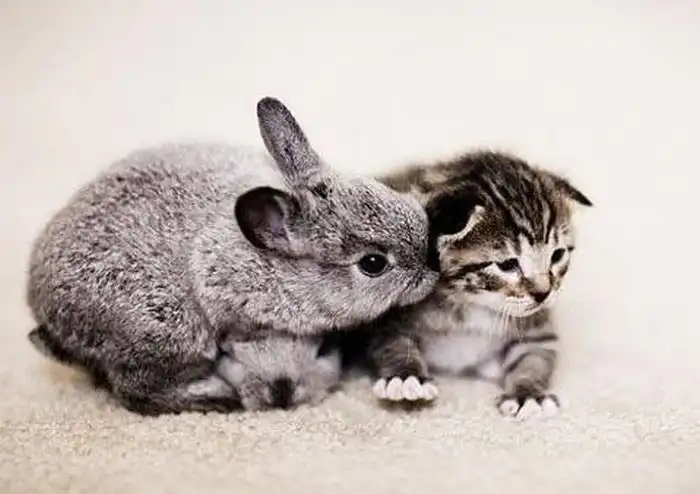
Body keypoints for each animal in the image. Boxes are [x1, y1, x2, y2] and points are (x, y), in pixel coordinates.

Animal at [26, 96, 439, 415]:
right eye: (373, 263)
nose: (431, 270)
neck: (273, 263)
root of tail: (42, 310)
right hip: (169, 330)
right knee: (136, 390)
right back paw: (216, 397)